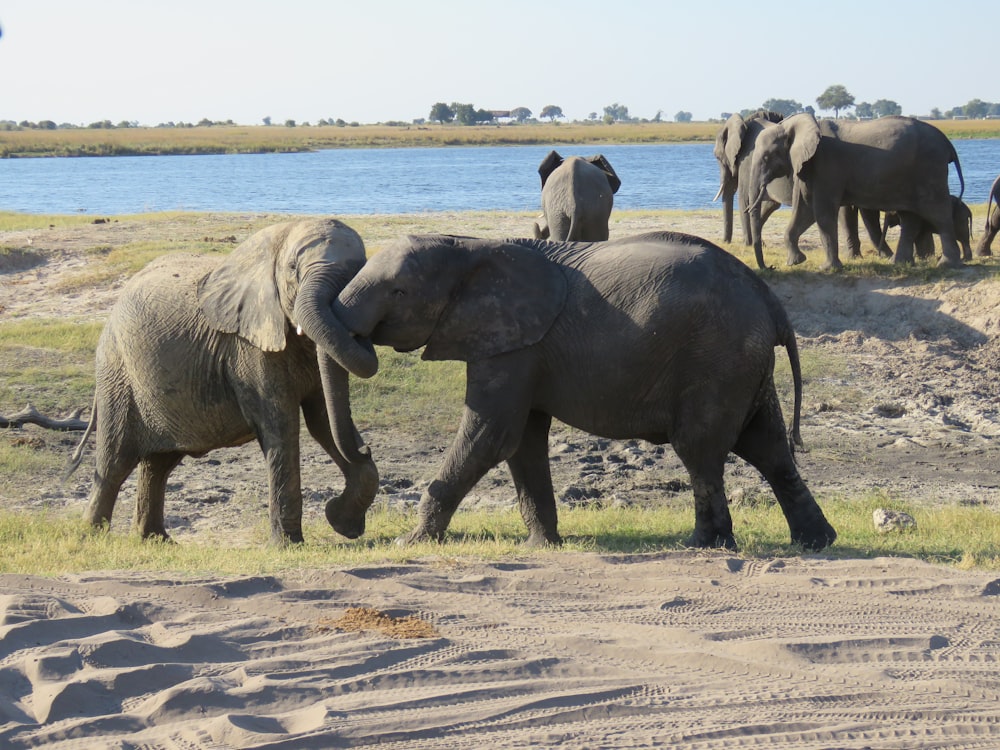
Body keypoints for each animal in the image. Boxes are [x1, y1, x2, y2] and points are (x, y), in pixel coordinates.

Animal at [66, 219, 378, 548]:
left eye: (360, 271)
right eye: (293, 269)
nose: (366, 448)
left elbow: (323, 420)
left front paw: (342, 524)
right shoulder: (248, 347)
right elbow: (282, 425)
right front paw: (289, 546)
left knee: (159, 464)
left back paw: (155, 540)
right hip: (116, 370)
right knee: (115, 460)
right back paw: (91, 536)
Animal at [328, 232, 836, 556]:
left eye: (398, 291)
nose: (343, 521)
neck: (468, 247)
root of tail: (771, 301)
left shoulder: (511, 344)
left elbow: (490, 435)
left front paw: (408, 542)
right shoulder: (521, 345)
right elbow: (522, 441)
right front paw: (543, 546)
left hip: (717, 356)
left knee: (700, 449)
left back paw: (703, 545)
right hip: (742, 363)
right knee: (767, 446)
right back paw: (816, 542)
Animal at [748, 114, 964, 270]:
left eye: (766, 157)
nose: (771, 267)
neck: (791, 124)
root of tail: (948, 143)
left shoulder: (826, 165)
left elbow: (822, 212)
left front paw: (828, 269)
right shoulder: (808, 167)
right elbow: (805, 211)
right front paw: (796, 262)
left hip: (930, 169)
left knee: (938, 213)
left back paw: (947, 265)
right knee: (910, 218)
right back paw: (899, 263)